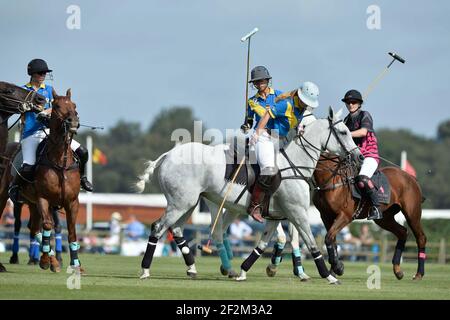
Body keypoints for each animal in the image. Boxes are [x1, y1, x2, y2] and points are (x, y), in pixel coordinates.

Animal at [18, 89, 81, 272]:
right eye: (57, 106)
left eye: (74, 105)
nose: (73, 121)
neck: (60, 161)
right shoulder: (43, 198)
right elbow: (47, 226)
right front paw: (45, 261)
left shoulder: (72, 201)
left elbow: (72, 231)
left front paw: (76, 265)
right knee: (37, 228)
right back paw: (49, 260)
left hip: (32, 204)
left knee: (33, 228)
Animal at [135, 107, 360, 284]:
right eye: (343, 131)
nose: (358, 156)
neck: (294, 164)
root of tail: (167, 156)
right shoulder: (297, 212)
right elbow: (311, 242)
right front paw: (329, 276)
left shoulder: (276, 216)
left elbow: (263, 244)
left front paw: (244, 271)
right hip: (181, 203)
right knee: (159, 227)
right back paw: (145, 270)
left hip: (189, 203)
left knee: (178, 229)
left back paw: (195, 268)